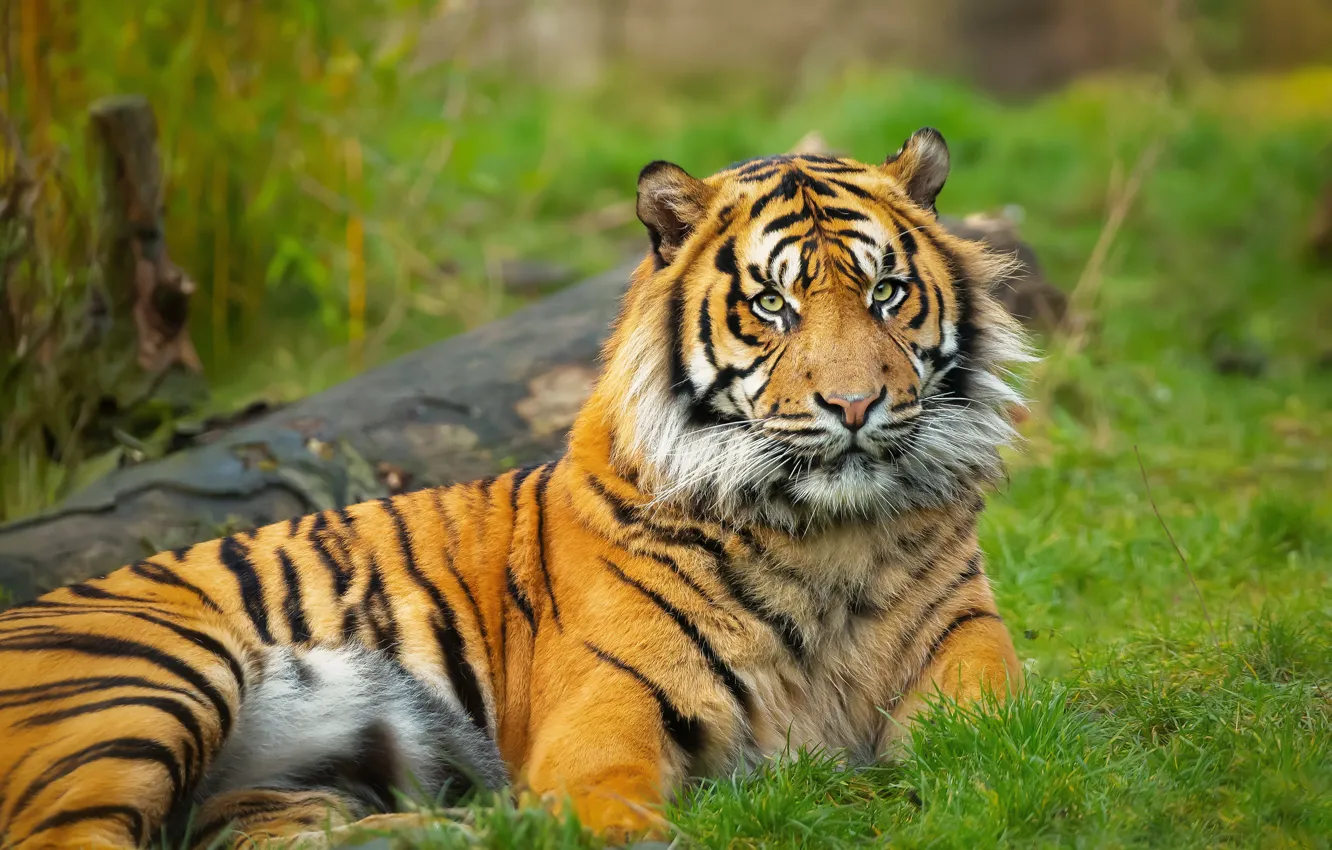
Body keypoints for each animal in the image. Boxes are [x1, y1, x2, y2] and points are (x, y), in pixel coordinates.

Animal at [0, 126, 1033, 849]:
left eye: (886, 293)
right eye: (773, 305)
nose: (855, 404)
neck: (824, 534)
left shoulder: (972, 659)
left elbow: (992, 748)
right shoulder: (603, 718)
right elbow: (616, 816)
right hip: (149, 674)